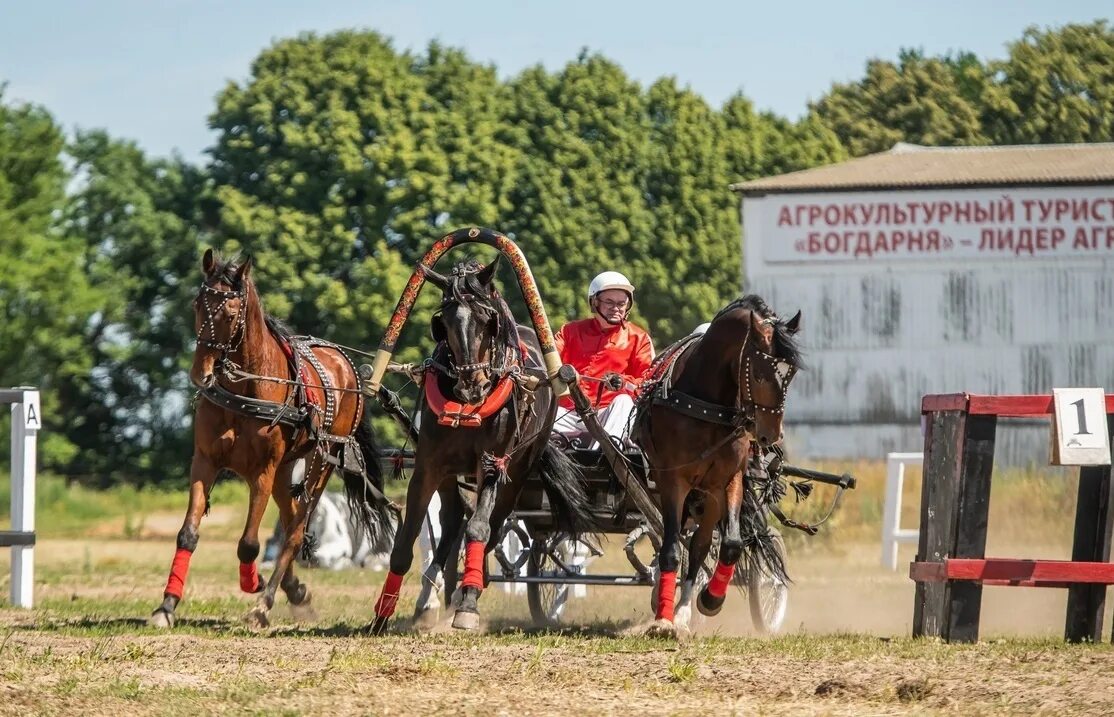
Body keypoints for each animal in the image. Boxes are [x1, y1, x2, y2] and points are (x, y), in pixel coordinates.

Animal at [145, 250, 394, 627]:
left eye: (231, 313)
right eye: (197, 304)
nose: (201, 373)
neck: (245, 388)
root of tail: (345, 363)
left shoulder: (263, 470)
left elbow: (248, 543)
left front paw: (255, 585)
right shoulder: (204, 461)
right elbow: (187, 534)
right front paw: (167, 606)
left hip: (321, 462)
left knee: (295, 529)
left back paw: (266, 601)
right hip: (285, 470)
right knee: (291, 519)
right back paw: (294, 589)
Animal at [367, 259, 597, 632]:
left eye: (486, 318)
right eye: (443, 321)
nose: (472, 385)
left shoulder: (492, 463)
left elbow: (479, 528)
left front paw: (468, 605)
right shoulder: (429, 466)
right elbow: (407, 538)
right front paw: (383, 613)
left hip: (518, 473)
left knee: (489, 527)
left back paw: (469, 590)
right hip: (451, 475)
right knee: (451, 521)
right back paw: (431, 598)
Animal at [637, 293, 802, 636]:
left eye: (791, 375)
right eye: (761, 373)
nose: (770, 435)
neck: (707, 404)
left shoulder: (727, 480)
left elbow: (731, 544)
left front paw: (710, 599)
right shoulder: (673, 482)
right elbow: (670, 550)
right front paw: (663, 618)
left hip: (707, 498)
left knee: (699, 545)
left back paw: (685, 609)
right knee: (674, 541)